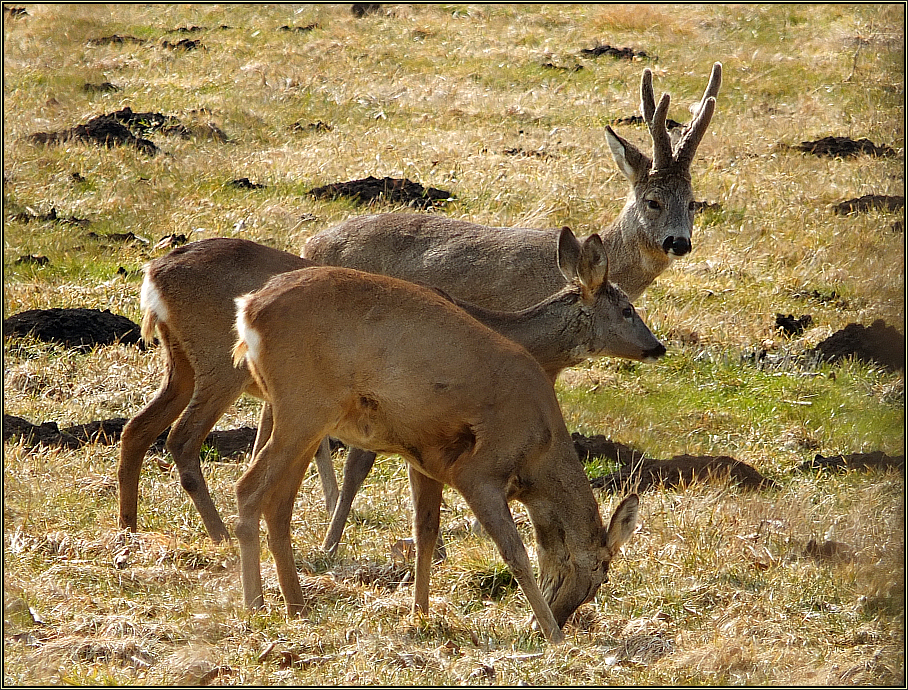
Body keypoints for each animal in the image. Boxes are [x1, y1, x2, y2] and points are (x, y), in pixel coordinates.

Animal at [119, 231, 660, 544]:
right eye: (627, 309)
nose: (656, 347)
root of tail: (152, 275)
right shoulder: (392, 404)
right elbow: (357, 469)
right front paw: (331, 542)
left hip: (181, 362)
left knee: (137, 428)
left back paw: (129, 527)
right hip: (219, 366)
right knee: (180, 439)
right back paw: (216, 535)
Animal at [229, 266, 640, 644]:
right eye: (603, 569)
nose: (562, 618)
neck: (540, 454)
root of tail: (248, 308)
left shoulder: (426, 460)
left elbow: (425, 533)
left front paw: (420, 614)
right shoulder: (478, 471)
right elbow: (515, 553)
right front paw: (553, 636)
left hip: (306, 418)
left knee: (278, 504)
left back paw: (296, 606)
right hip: (304, 406)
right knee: (248, 488)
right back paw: (255, 606)